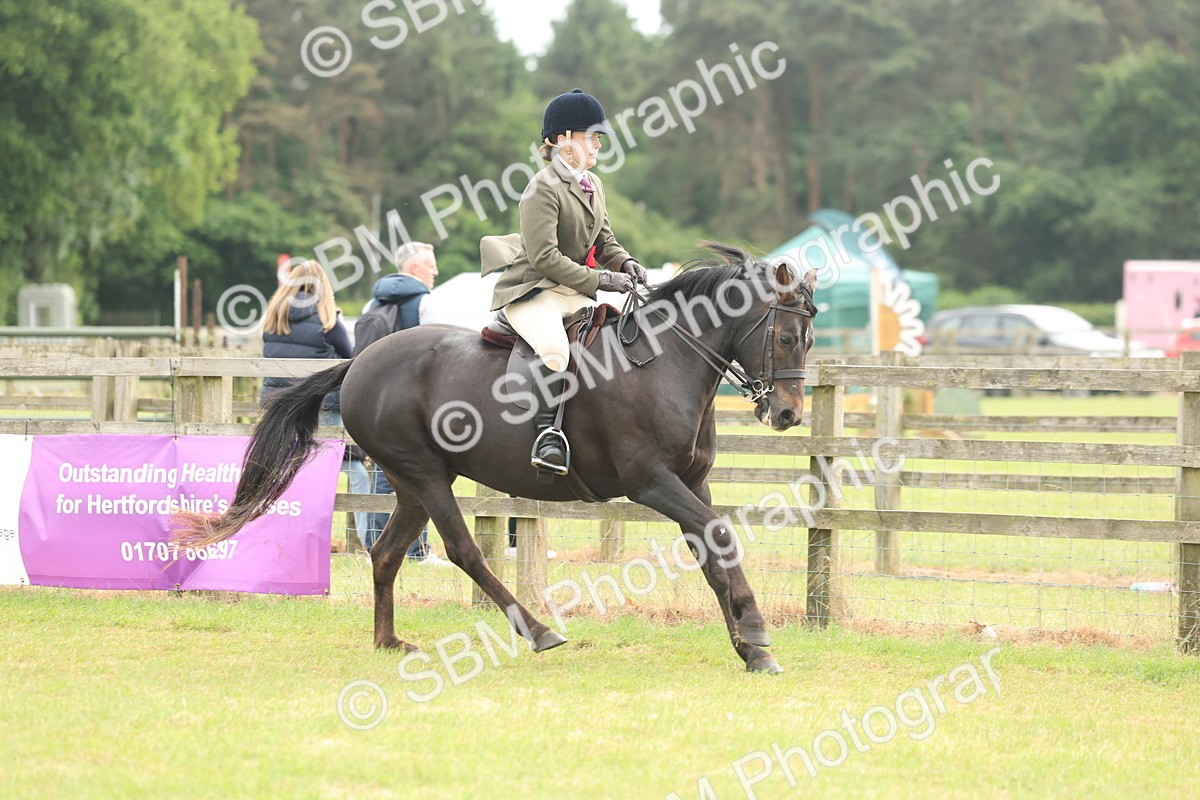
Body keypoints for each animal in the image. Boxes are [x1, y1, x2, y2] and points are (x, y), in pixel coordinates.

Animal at [174, 243, 818, 673]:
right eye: (786, 337)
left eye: (810, 340)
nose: (788, 414)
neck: (663, 362)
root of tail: (359, 362)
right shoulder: (651, 481)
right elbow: (718, 534)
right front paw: (755, 629)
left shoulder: (692, 482)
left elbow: (713, 547)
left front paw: (750, 648)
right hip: (425, 475)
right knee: (463, 550)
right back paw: (538, 632)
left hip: (411, 480)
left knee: (386, 553)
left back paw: (389, 641)